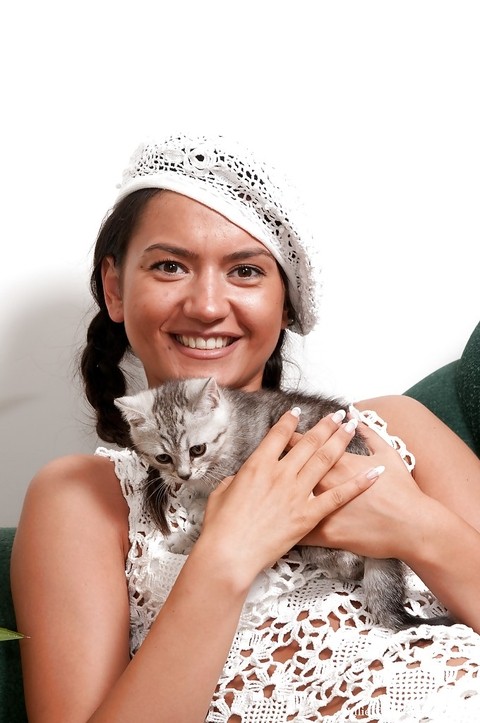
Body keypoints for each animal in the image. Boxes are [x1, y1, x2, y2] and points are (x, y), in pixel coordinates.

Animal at [115, 376, 454, 632]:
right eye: (163, 457)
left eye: (197, 449)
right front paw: (191, 497)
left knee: (349, 561)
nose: (183, 474)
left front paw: (185, 536)